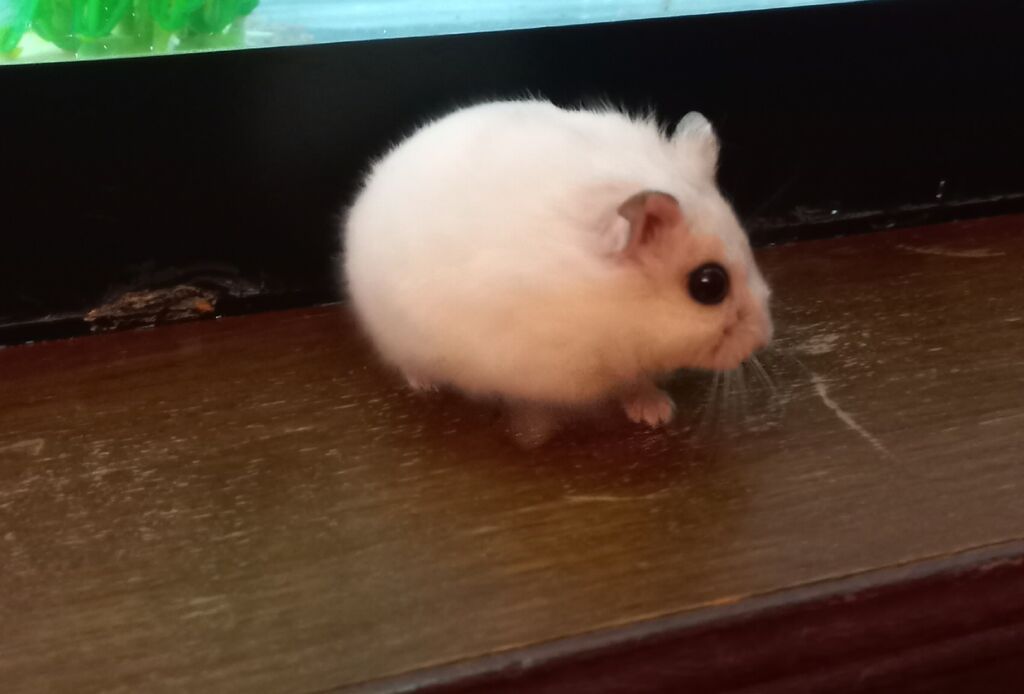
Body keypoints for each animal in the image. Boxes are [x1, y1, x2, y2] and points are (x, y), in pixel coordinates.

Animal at [343, 100, 773, 429]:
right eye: (709, 285)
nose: (764, 337)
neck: (620, 304)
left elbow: (636, 383)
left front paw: (658, 413)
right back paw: (425, 385)